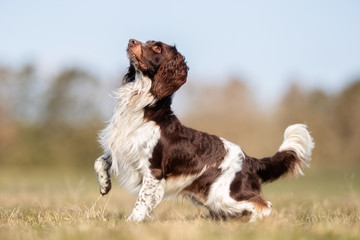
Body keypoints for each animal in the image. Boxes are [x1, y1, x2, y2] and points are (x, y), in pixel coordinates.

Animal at [93, 39, 316, 221]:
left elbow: (142, 201)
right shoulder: (121, 147)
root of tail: (249, 160)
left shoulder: (153, 170)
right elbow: (100, 161)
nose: (131, 40)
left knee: (264, 205)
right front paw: (105, 185)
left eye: (157, 48)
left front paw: (132, 223)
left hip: (223, 194)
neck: (143, 107)